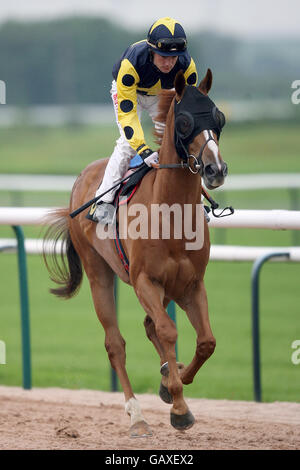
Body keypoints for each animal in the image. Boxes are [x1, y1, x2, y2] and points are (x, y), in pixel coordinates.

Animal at [43, 69, 227, 436]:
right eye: (184, 122)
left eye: (219, 118)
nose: (216, 169)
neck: (171, 214)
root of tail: (81, 179)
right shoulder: (145, 281)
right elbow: (168, 331)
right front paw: (179, 406)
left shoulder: (191, 283)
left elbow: (206, 341)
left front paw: (173, 381)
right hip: (99, 273)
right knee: (116, 343)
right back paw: (137, 415)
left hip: (168, 288)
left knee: (149, 324)